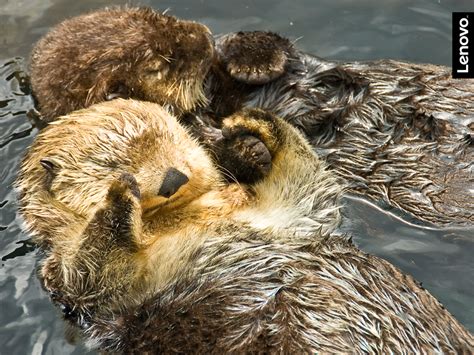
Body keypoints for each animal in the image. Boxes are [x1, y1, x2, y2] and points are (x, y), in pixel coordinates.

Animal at [14, 99, 474, 354]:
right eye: (112, 163)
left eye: (172, 139)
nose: (172, 178)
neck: (176, 220)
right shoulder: (78, 283)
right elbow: (93, 276)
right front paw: (118, 197)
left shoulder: (283, 217)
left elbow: (307, 187)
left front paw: (252, 123)